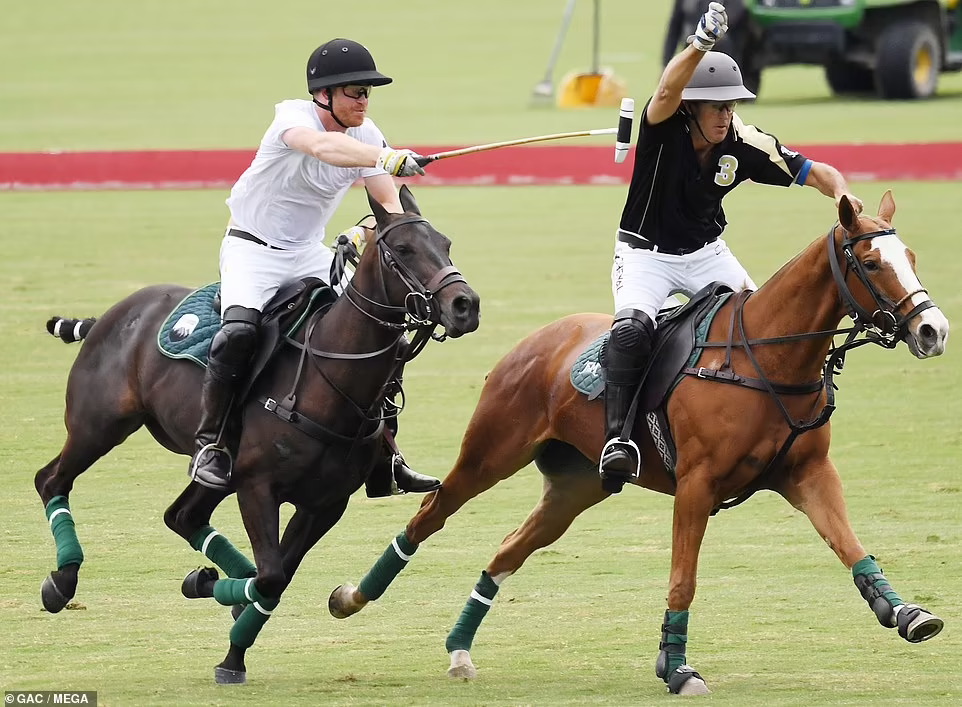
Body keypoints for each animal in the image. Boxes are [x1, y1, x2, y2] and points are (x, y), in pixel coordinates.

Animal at [33, 187, 480, 684]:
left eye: (445, 244)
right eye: (402, 250)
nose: (465, 305)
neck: (326, 378)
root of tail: (108, 317)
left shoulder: (324, 504)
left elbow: (277, 578)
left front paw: (221, 621)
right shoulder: (257, 486)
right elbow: (269, 577)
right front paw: (227, 638)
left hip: (214, 469)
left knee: (182, 516)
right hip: (98, 426)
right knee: (52, 480)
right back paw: (62, 581)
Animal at [328, 192, 944, 696]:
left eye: (912, 257)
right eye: (871, 263)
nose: (933, 330)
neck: (767, 358)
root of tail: (532, 340)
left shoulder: (808, 473)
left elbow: (852, 546)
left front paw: (907, 613)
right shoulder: (698, 485)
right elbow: (683, 579)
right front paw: (677, 668)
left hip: (575, 487)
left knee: (507, 549)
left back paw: (459, 650)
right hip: (488, 455)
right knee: (430, 513)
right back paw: (353, 598)